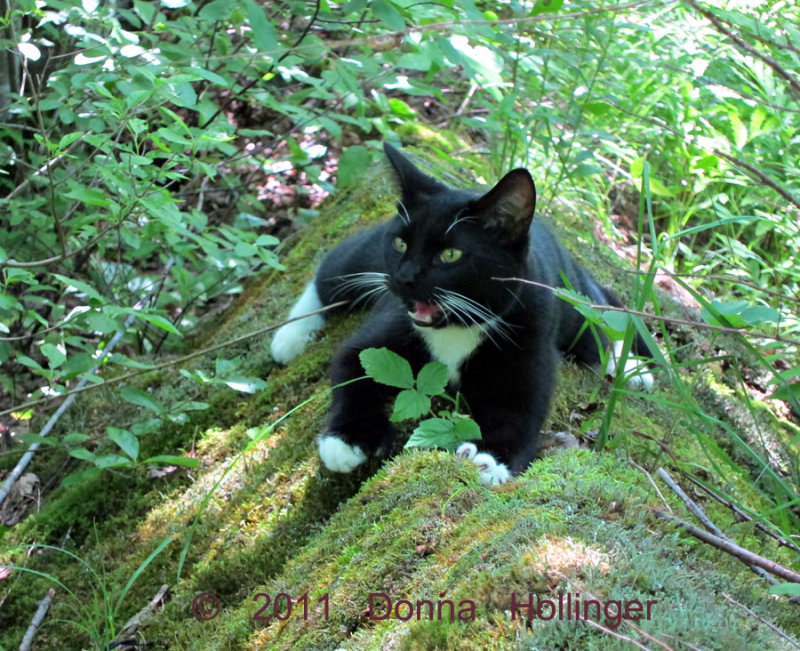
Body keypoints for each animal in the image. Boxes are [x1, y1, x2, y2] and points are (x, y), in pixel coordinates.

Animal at [272, 145, 652, 486]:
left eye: (451, 255)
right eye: (400, 244)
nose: (405, 277)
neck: (456, 327)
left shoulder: (530, 334)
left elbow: (519, 414)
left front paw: (489, 460)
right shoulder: (388, 324)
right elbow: (353, 367)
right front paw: (347, 439)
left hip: (571, 298)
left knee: (599, 323)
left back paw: (633, 368)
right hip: (366, 261)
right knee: (330, 272)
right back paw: (288, 338)